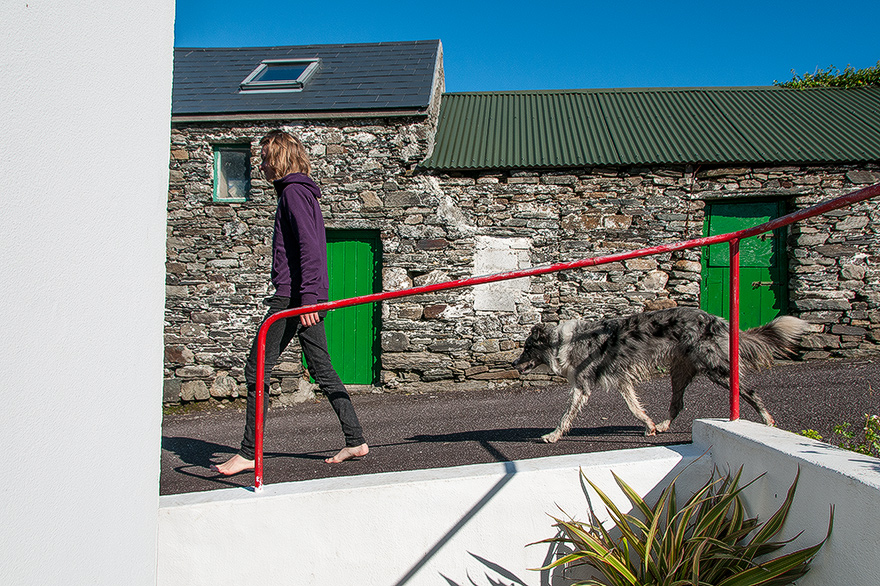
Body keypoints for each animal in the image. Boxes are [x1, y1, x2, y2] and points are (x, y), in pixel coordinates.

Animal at [512, 308, 808, 440]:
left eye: (527, 348)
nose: (514, 363)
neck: (561, 342)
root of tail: (718, 320)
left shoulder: (582, 386)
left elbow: (565, 416)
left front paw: (552, 436)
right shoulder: (622, 381)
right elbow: (635, 408)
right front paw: (650, 426)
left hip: (717, 371)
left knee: (750, 391)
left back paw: (768, 421)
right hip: (679, 373)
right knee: (678, 404)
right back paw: (664, 425)